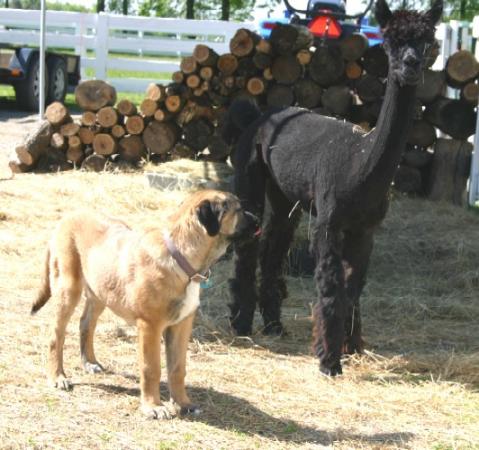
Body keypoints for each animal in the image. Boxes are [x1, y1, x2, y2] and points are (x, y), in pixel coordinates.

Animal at [31, 189, 260, 418]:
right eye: (239, 210)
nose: (259, 221)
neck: (181, 258)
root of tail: (67, 218)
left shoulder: (182, 325)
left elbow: (177, 368)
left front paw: (183, 403)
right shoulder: (150, 326)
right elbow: (152, 368)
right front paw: (154, 407)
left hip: (100, 292)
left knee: (85, 323)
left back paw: (90, 363)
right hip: (68, 289)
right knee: (56, 335)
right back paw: (58, 377)